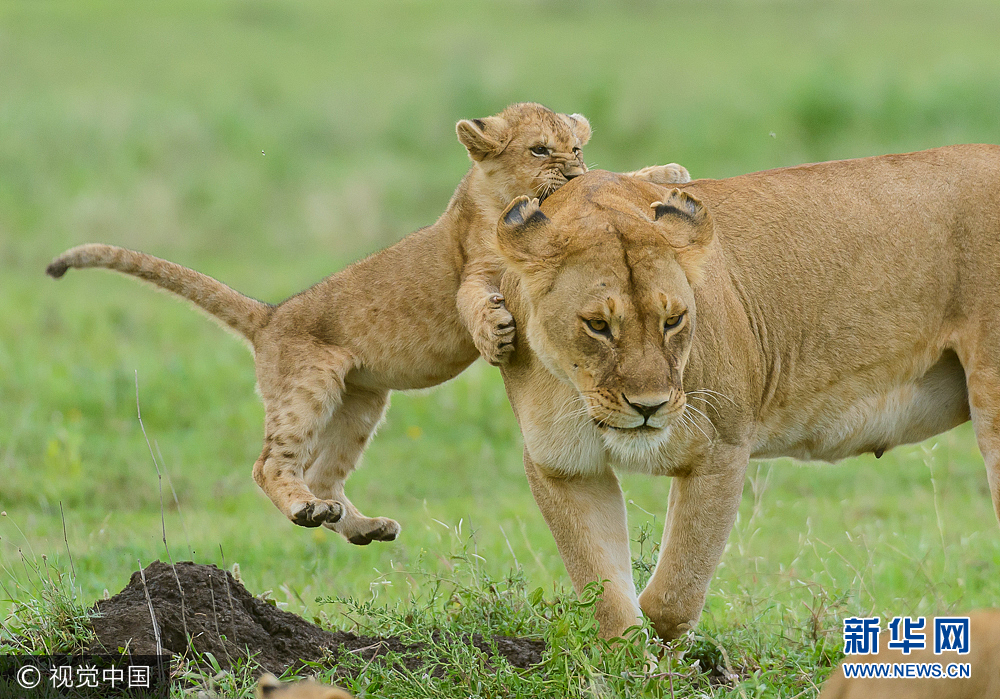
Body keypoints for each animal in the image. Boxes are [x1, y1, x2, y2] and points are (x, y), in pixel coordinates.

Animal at [46, 102, 690, 545]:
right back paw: (305, 510)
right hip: (308, 387)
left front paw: (669, 171)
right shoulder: (477, 267)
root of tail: (271, 314)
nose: (574, 173)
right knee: (268, 464)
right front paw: (496, 336)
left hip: (359, 403)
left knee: (325, 475)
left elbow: (625, 180)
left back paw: (356, 524)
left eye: (575, 149)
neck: (487, 195)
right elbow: (474, 300)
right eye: (538, 150)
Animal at [492, 145, 1000, 641]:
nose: (649, 407)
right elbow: (608, 601)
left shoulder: (721, 449)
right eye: (598, 325)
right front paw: (631, 659)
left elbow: (673, 596)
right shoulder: (563, 468)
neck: (575, 391)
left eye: (673, 320)